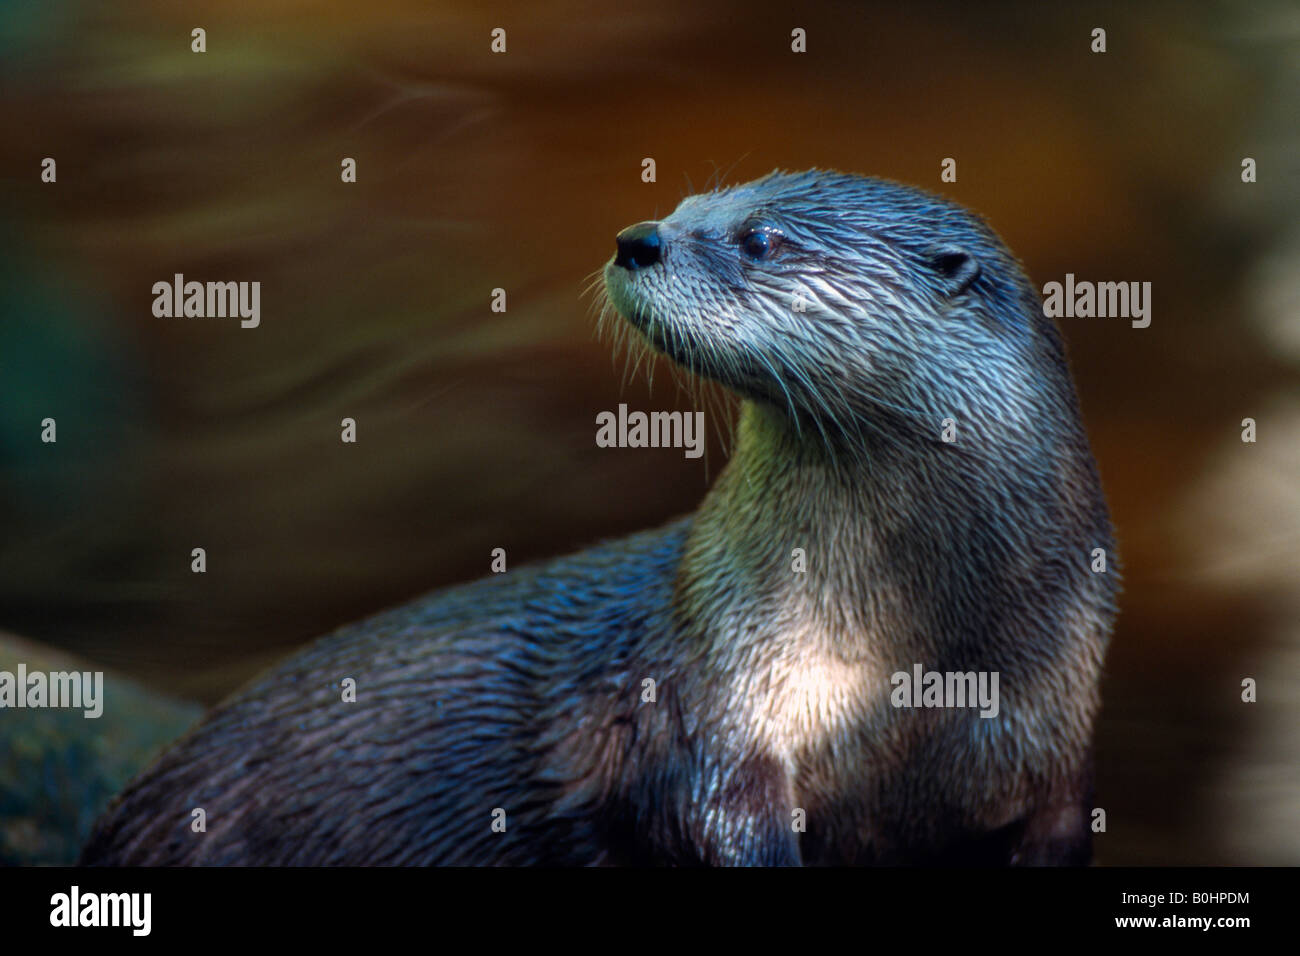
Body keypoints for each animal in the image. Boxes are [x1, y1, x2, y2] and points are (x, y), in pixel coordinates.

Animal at [78, 170, 1118, 868]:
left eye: (761, 239)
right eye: (689, 203)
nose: (638, 238)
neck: (901, 664)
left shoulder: (1059, 746)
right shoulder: (711, 704)